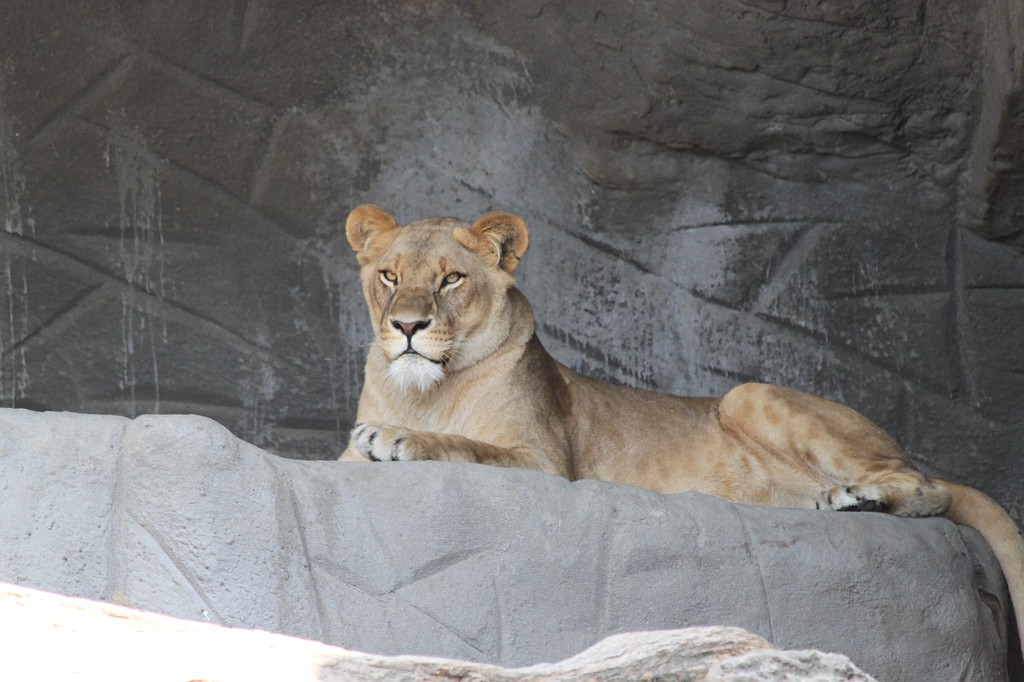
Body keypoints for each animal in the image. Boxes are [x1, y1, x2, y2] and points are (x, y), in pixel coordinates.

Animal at [339, 203, 1024, 654]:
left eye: (451, 278)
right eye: (389, 276)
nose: (407, 327)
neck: (425, 395)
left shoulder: (546, 464)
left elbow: (462, 445)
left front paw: (393, 439)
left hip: (750, 394)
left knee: (929, 487)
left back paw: (858, 498)